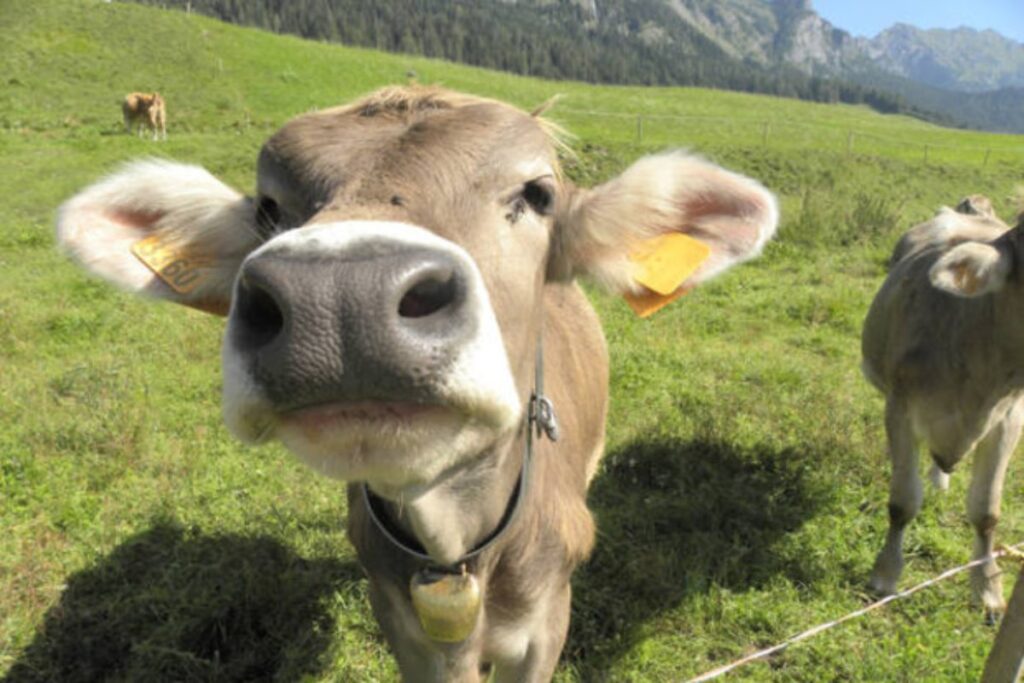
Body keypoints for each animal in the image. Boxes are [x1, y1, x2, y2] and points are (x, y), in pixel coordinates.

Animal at [57, 86, 778, 680]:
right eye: (267, 206)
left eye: (537, 194)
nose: (341, 295)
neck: (454, 541)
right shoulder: (403, 626)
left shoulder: (548, 623)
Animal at [862, 196, 1021, 620]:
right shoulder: (900, 409)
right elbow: (902, 502)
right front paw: (885, 576)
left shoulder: (1009, 420)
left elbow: (986, 511)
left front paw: (988, 588)